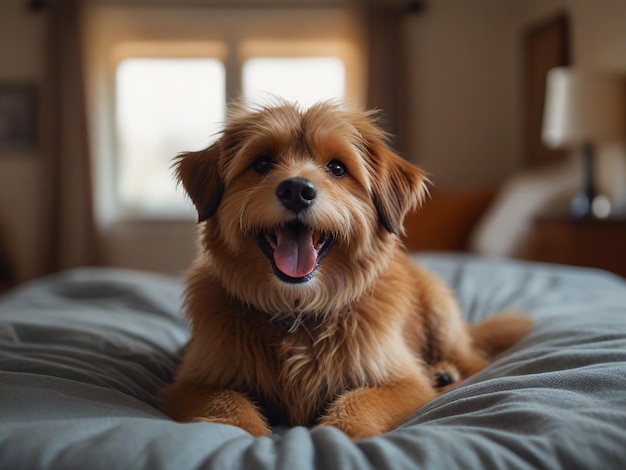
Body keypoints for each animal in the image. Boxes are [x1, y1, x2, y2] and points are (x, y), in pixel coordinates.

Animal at [158, 99, 528, 440]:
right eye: (262, 163)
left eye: (337, 168)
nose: (296, 189)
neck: (297, 314)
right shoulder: (193, 384)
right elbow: (229, 406)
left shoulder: (402, 381)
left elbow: (360, 402)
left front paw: (341, 432)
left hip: (440, 309)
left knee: (474, 362)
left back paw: (445, 373)